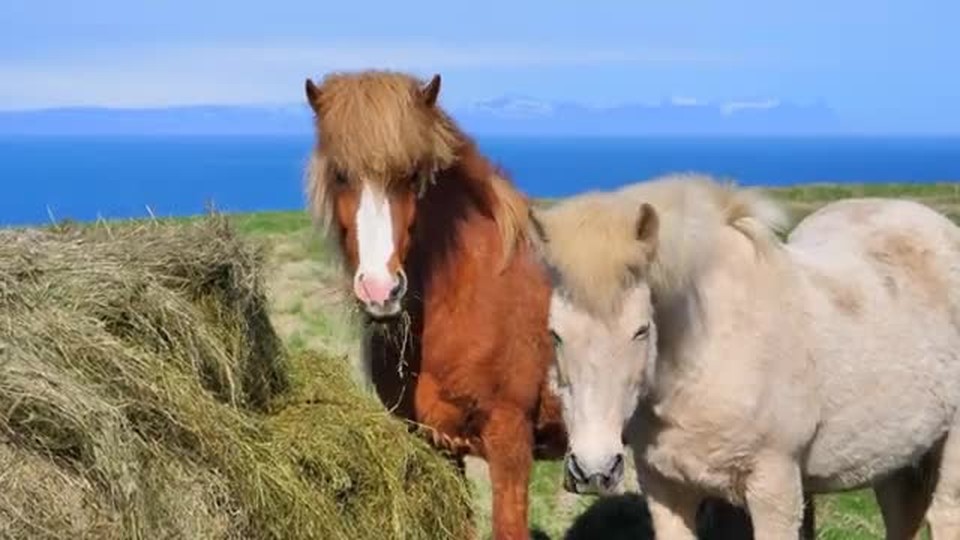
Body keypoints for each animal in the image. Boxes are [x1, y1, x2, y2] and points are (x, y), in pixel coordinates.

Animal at [528, 172, 960, 539]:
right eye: (555, 334)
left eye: (640, 330)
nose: (593, 470)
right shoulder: (668, 490)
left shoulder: (774, 489)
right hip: (898, 460)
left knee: (944, 515)